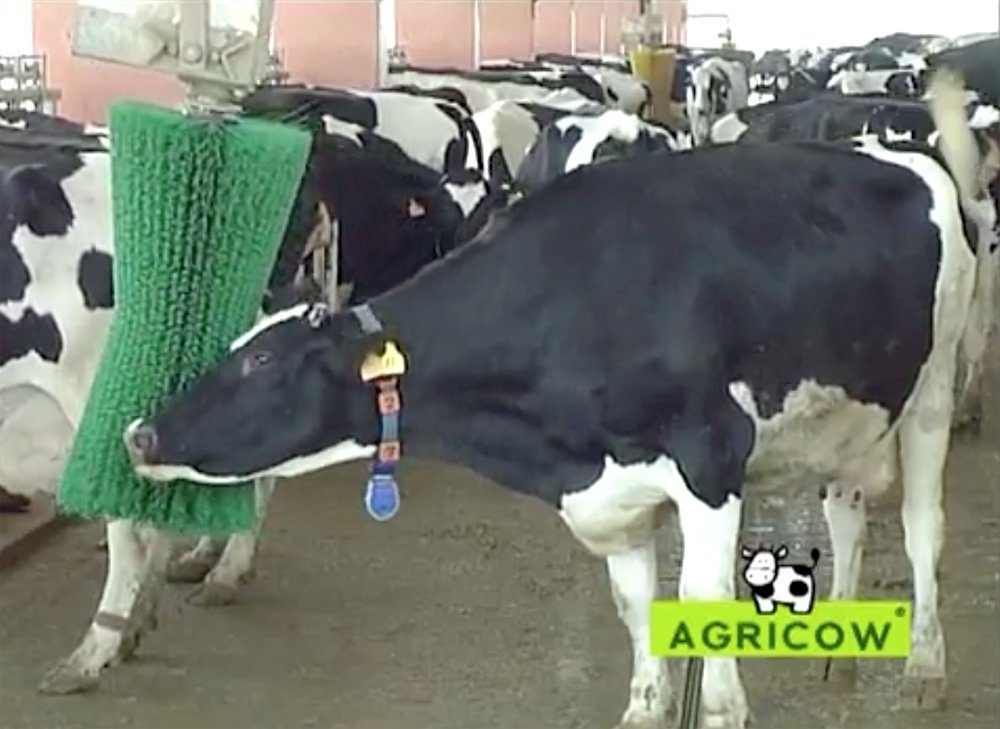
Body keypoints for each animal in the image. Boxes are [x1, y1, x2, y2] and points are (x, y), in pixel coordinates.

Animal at [77, 73, 986, 727]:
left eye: (263, 361)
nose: (140, 432)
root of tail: (895, 146)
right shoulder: (609, 493)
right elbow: (635, 606)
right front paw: (642, 708)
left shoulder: (709, 460)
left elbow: (703, 604)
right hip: (852, 408)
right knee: (845, 511)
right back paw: (842, 650)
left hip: (933, 387)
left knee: (924, 526)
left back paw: (926, 665)